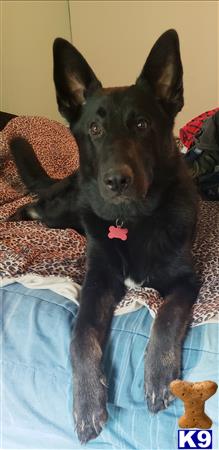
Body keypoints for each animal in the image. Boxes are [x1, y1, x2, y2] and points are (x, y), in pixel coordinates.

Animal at [10, 29, 199, 444]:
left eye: (142, 125)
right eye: (95, 130)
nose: (115, 181)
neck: (131, 221)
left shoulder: (187, 280)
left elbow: (166, 315)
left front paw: (158, 374)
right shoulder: (96, 282)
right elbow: (81, 335)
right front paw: (86, 403)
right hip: (63, 208)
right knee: (40, 204)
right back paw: (20, 213)